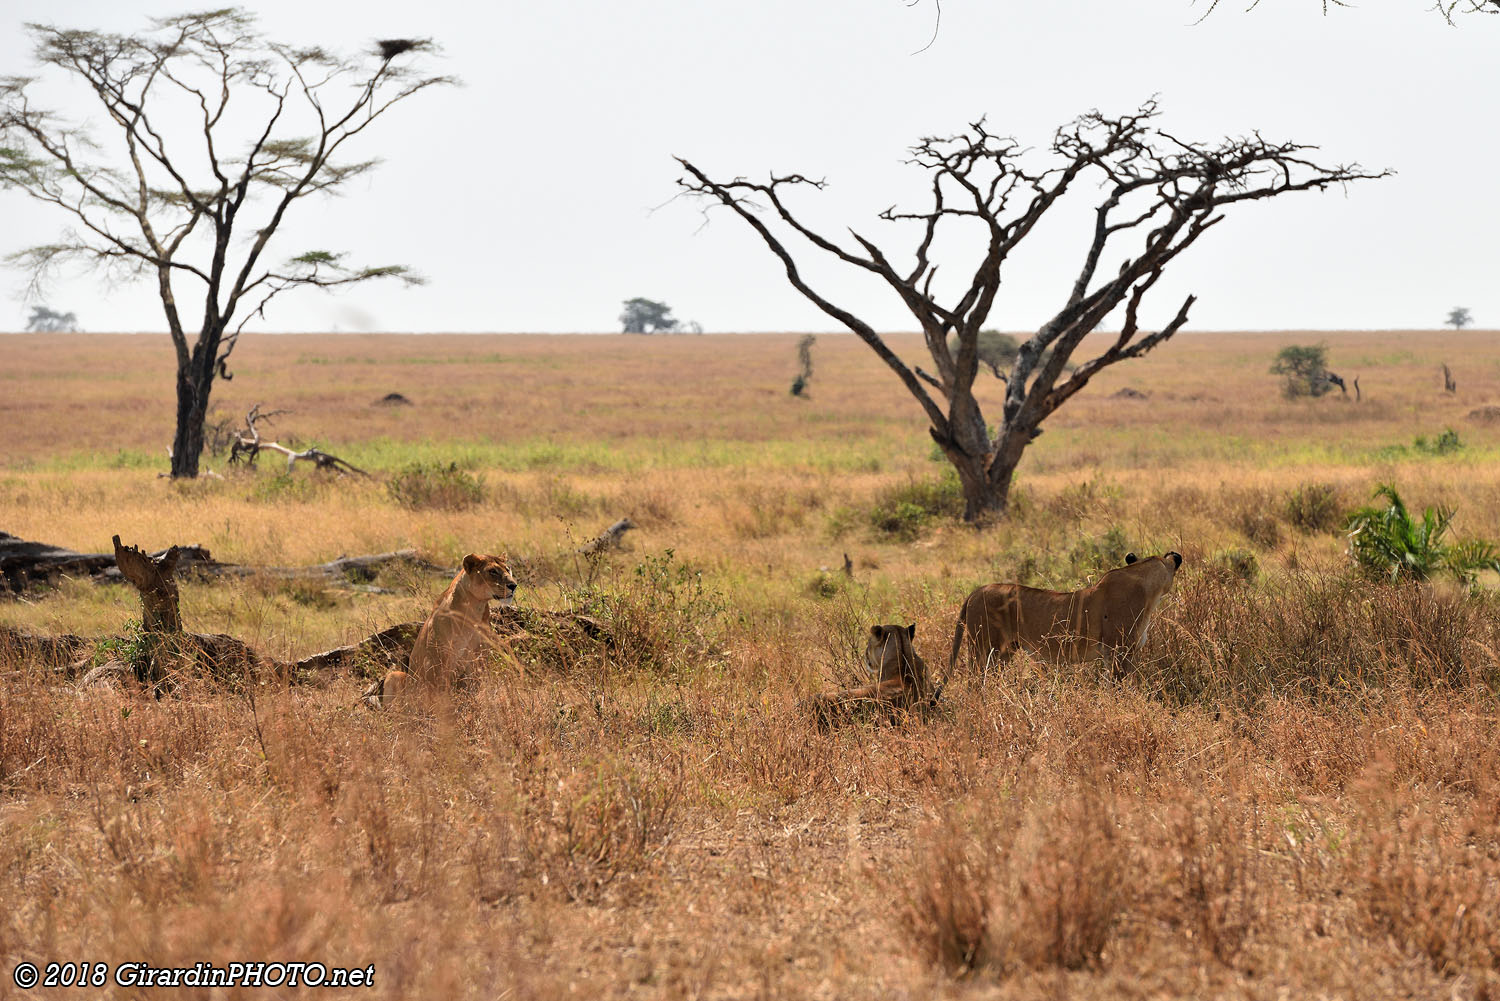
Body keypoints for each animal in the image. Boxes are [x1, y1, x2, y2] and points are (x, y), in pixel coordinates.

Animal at [363, 553, 517, 709]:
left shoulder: (479, 655)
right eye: (493, 571)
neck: (474, 607)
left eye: (508, 569)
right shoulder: (438, 658)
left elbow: (476, 686)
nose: (513, 585)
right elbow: (442, 692)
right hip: (396, 675)